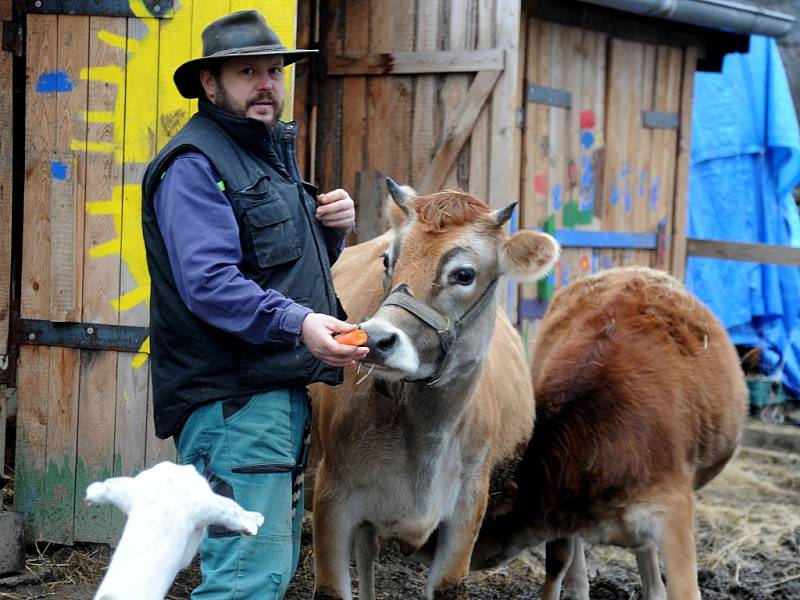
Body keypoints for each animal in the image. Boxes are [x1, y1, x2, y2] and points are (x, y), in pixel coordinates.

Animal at [310, 183, 560, 600]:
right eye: (387, 260)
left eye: (464, 274)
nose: (376, 339)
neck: (426, 433)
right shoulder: (332, 497)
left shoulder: (467, 510)